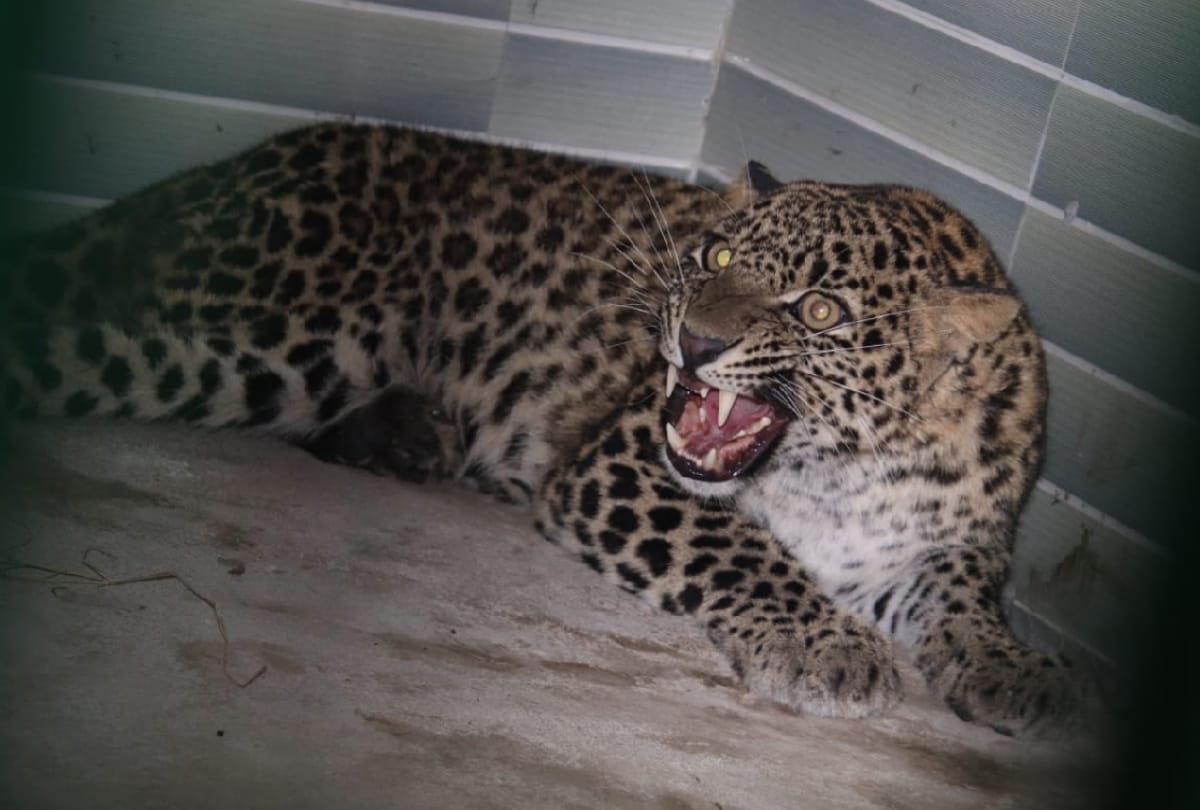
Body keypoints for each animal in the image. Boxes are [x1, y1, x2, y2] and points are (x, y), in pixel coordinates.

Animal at [1, 121, 1083, 736]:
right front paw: (824, 646)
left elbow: (962, 600)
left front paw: (1016, 670)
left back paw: (408, 439)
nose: (692, 342)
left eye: (818, 311)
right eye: (716, 256)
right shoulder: (626, 464)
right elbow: (742, 547)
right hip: (282, 333)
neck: (853, 471)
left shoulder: (940, 546)